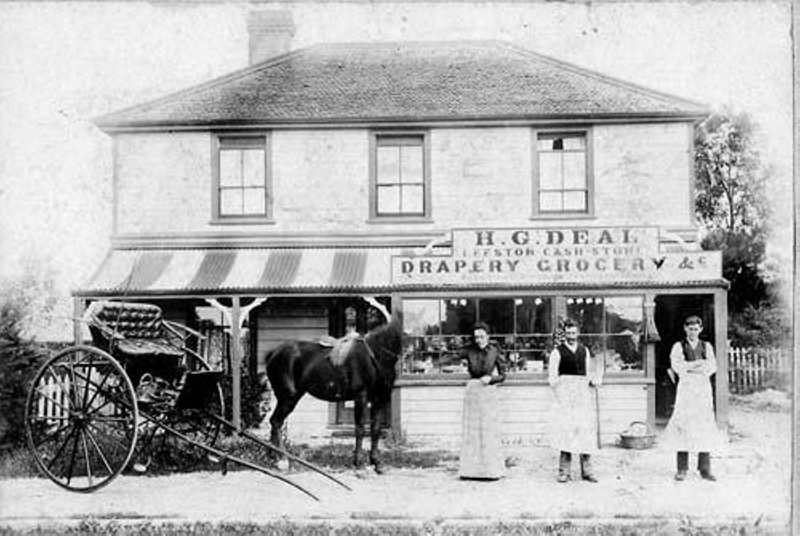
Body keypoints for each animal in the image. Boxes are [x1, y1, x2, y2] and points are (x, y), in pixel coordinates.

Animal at [264, 312, 404, 472]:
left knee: (275, 423)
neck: (375, 355)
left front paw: (376, 463)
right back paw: (283, 459)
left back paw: (274, 457)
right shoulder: (361, 397)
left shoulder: (379, 399)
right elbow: (360, 428)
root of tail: (273, 353)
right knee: (276, 422)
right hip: (288, 398)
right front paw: (358, 462)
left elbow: (375, 429)